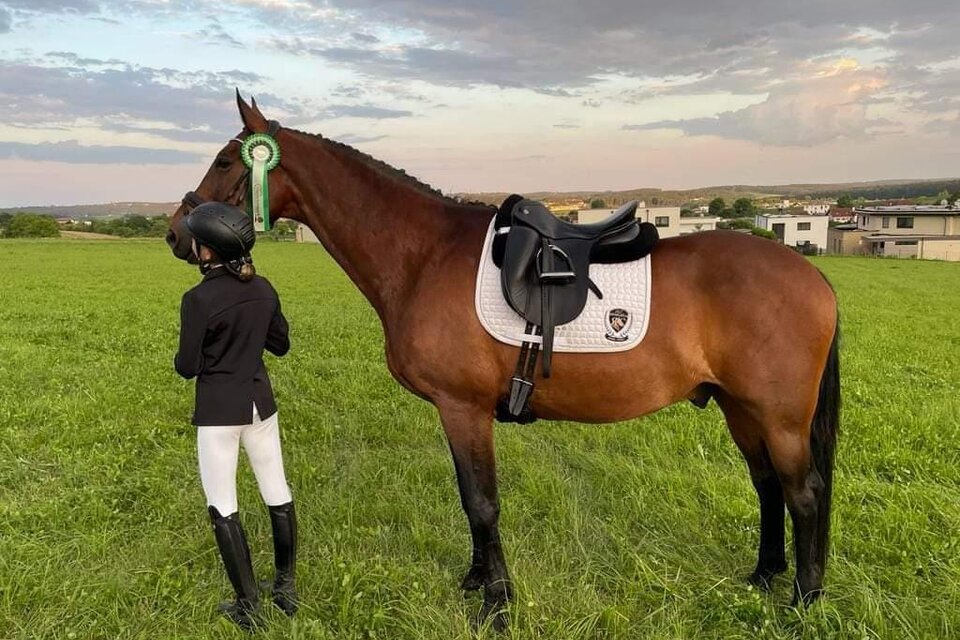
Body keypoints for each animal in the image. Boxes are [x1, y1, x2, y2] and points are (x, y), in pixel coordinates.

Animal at [167, 94, 840, 630]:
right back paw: (763, 577)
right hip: (739, 408)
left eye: (225, 161)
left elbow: (482, 502)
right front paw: (475, 582)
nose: (178, 232)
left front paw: (496, 603)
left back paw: (803, 604)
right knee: (767, 485)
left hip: (778, 417)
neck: (424, 254)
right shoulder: (455, 412)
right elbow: (470, 498)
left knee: (803, 492)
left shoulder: (464, 408)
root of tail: (812, 276)